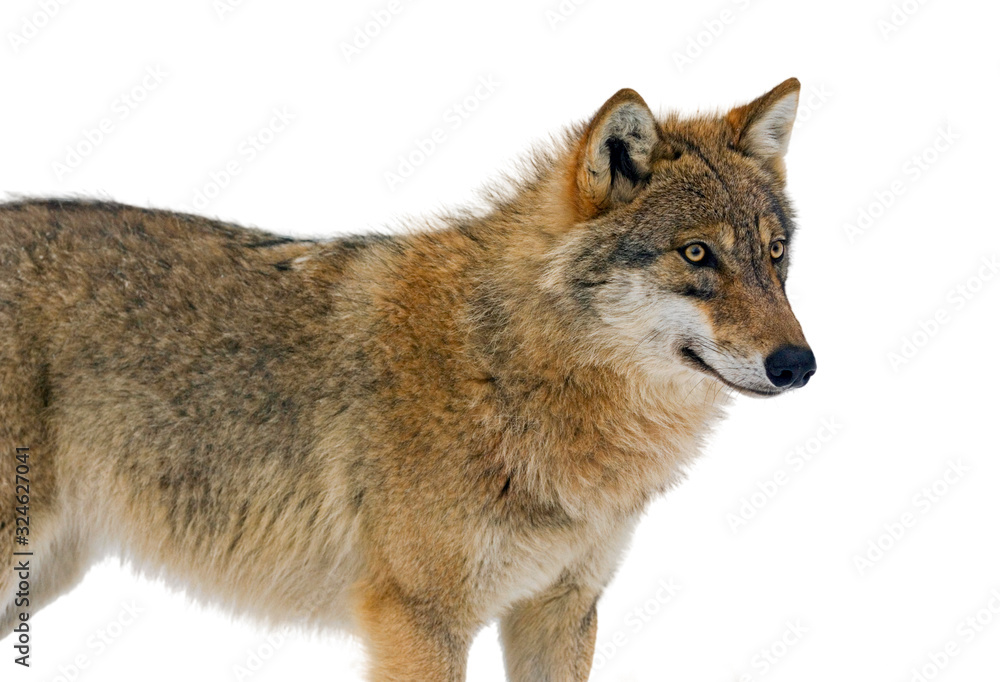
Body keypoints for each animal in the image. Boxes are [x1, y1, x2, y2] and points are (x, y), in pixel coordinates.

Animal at [0, 78, 814, 680]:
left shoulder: (559, 609)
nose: (799, 365)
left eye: (775, 254)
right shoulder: (418, 619)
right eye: (697, 253)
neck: (508, 369)